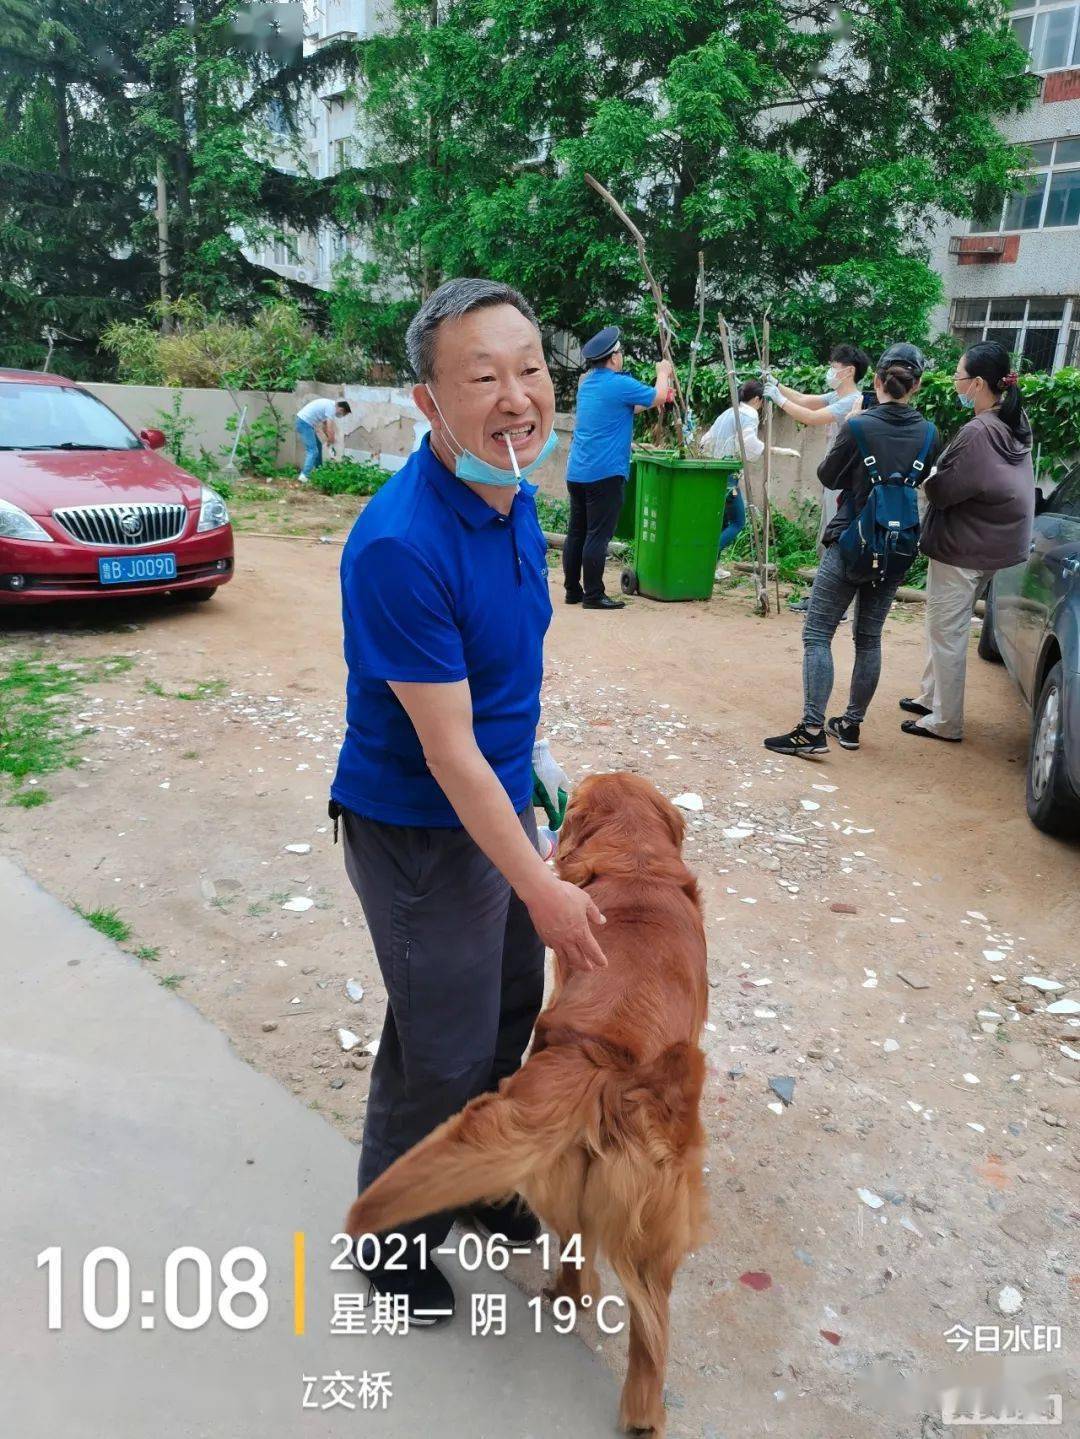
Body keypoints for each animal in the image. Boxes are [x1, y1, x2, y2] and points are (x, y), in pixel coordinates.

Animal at [343, 777, 710, 1439]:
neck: (638, 865)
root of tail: (603, 1064)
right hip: (656, 1226)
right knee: (645, 1326)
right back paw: (639, 1406)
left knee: (586, 1264)